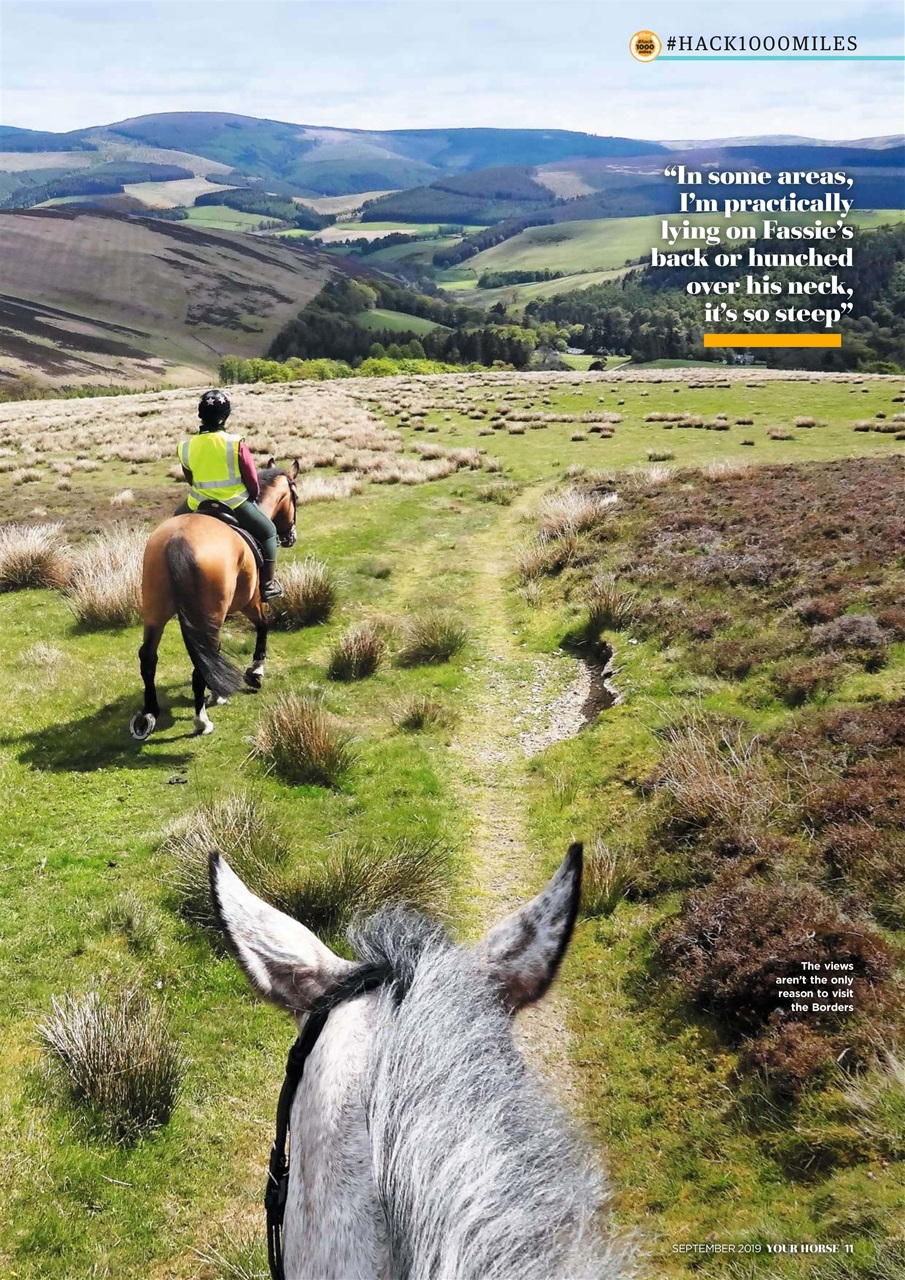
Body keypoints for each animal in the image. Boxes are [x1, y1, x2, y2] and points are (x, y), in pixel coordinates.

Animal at [129, 462, 299, 741]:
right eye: (295, 497)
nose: (290, 537)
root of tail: (177, 539)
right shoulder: (250, 602)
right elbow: (263, 627)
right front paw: (255, 672)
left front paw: (218, 688)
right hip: (213, 612)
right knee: (201, 658)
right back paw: (201, 721)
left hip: (156, 611)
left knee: (149, 657)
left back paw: (149, 715)